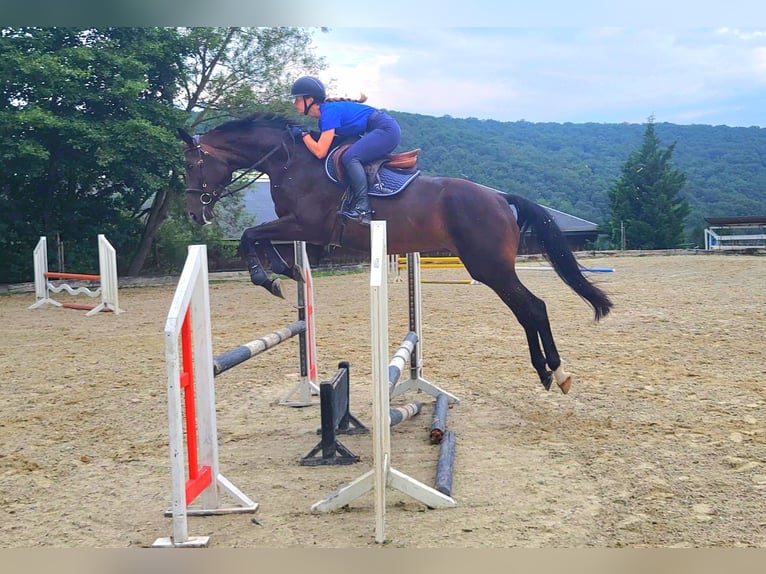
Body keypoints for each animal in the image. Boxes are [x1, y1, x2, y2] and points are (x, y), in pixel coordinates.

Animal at [177, 111, 616, 396]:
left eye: (192, 165)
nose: (196, 213)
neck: (290, 163)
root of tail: (498, 197)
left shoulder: (306, 226)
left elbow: (250, 234)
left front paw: (269, 277)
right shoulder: (298, 229)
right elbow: (258, 238)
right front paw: (287, 273)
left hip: (489, 267)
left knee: (533, 307)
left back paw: (556, 372)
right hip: (491, 268)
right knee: (529, 309)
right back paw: (548, 373)